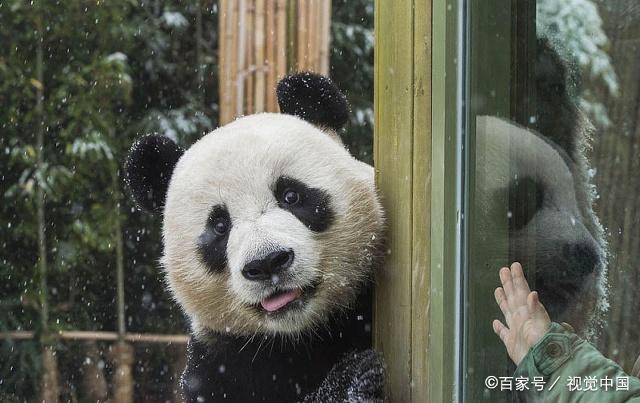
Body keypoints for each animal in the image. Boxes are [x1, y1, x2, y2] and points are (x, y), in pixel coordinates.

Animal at [125, 71, 384, 402]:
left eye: (290, 195)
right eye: (220, 226)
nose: (267, 263)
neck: (302, 335)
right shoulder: (219, 363)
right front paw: (354, 380)